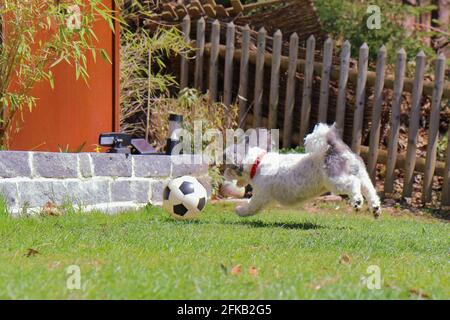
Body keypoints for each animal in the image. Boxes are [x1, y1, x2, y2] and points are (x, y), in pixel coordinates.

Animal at [224, 122, 380, 218]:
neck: (258, 162)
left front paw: (239, 210)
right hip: (362, 175)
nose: (224, 176)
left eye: (228, 168)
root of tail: (335, 147)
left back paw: (357, 202)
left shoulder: (261, 196)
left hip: (336, 181)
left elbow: (251, 206)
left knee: (354, 184)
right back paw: (375, 208)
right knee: (370, 190)